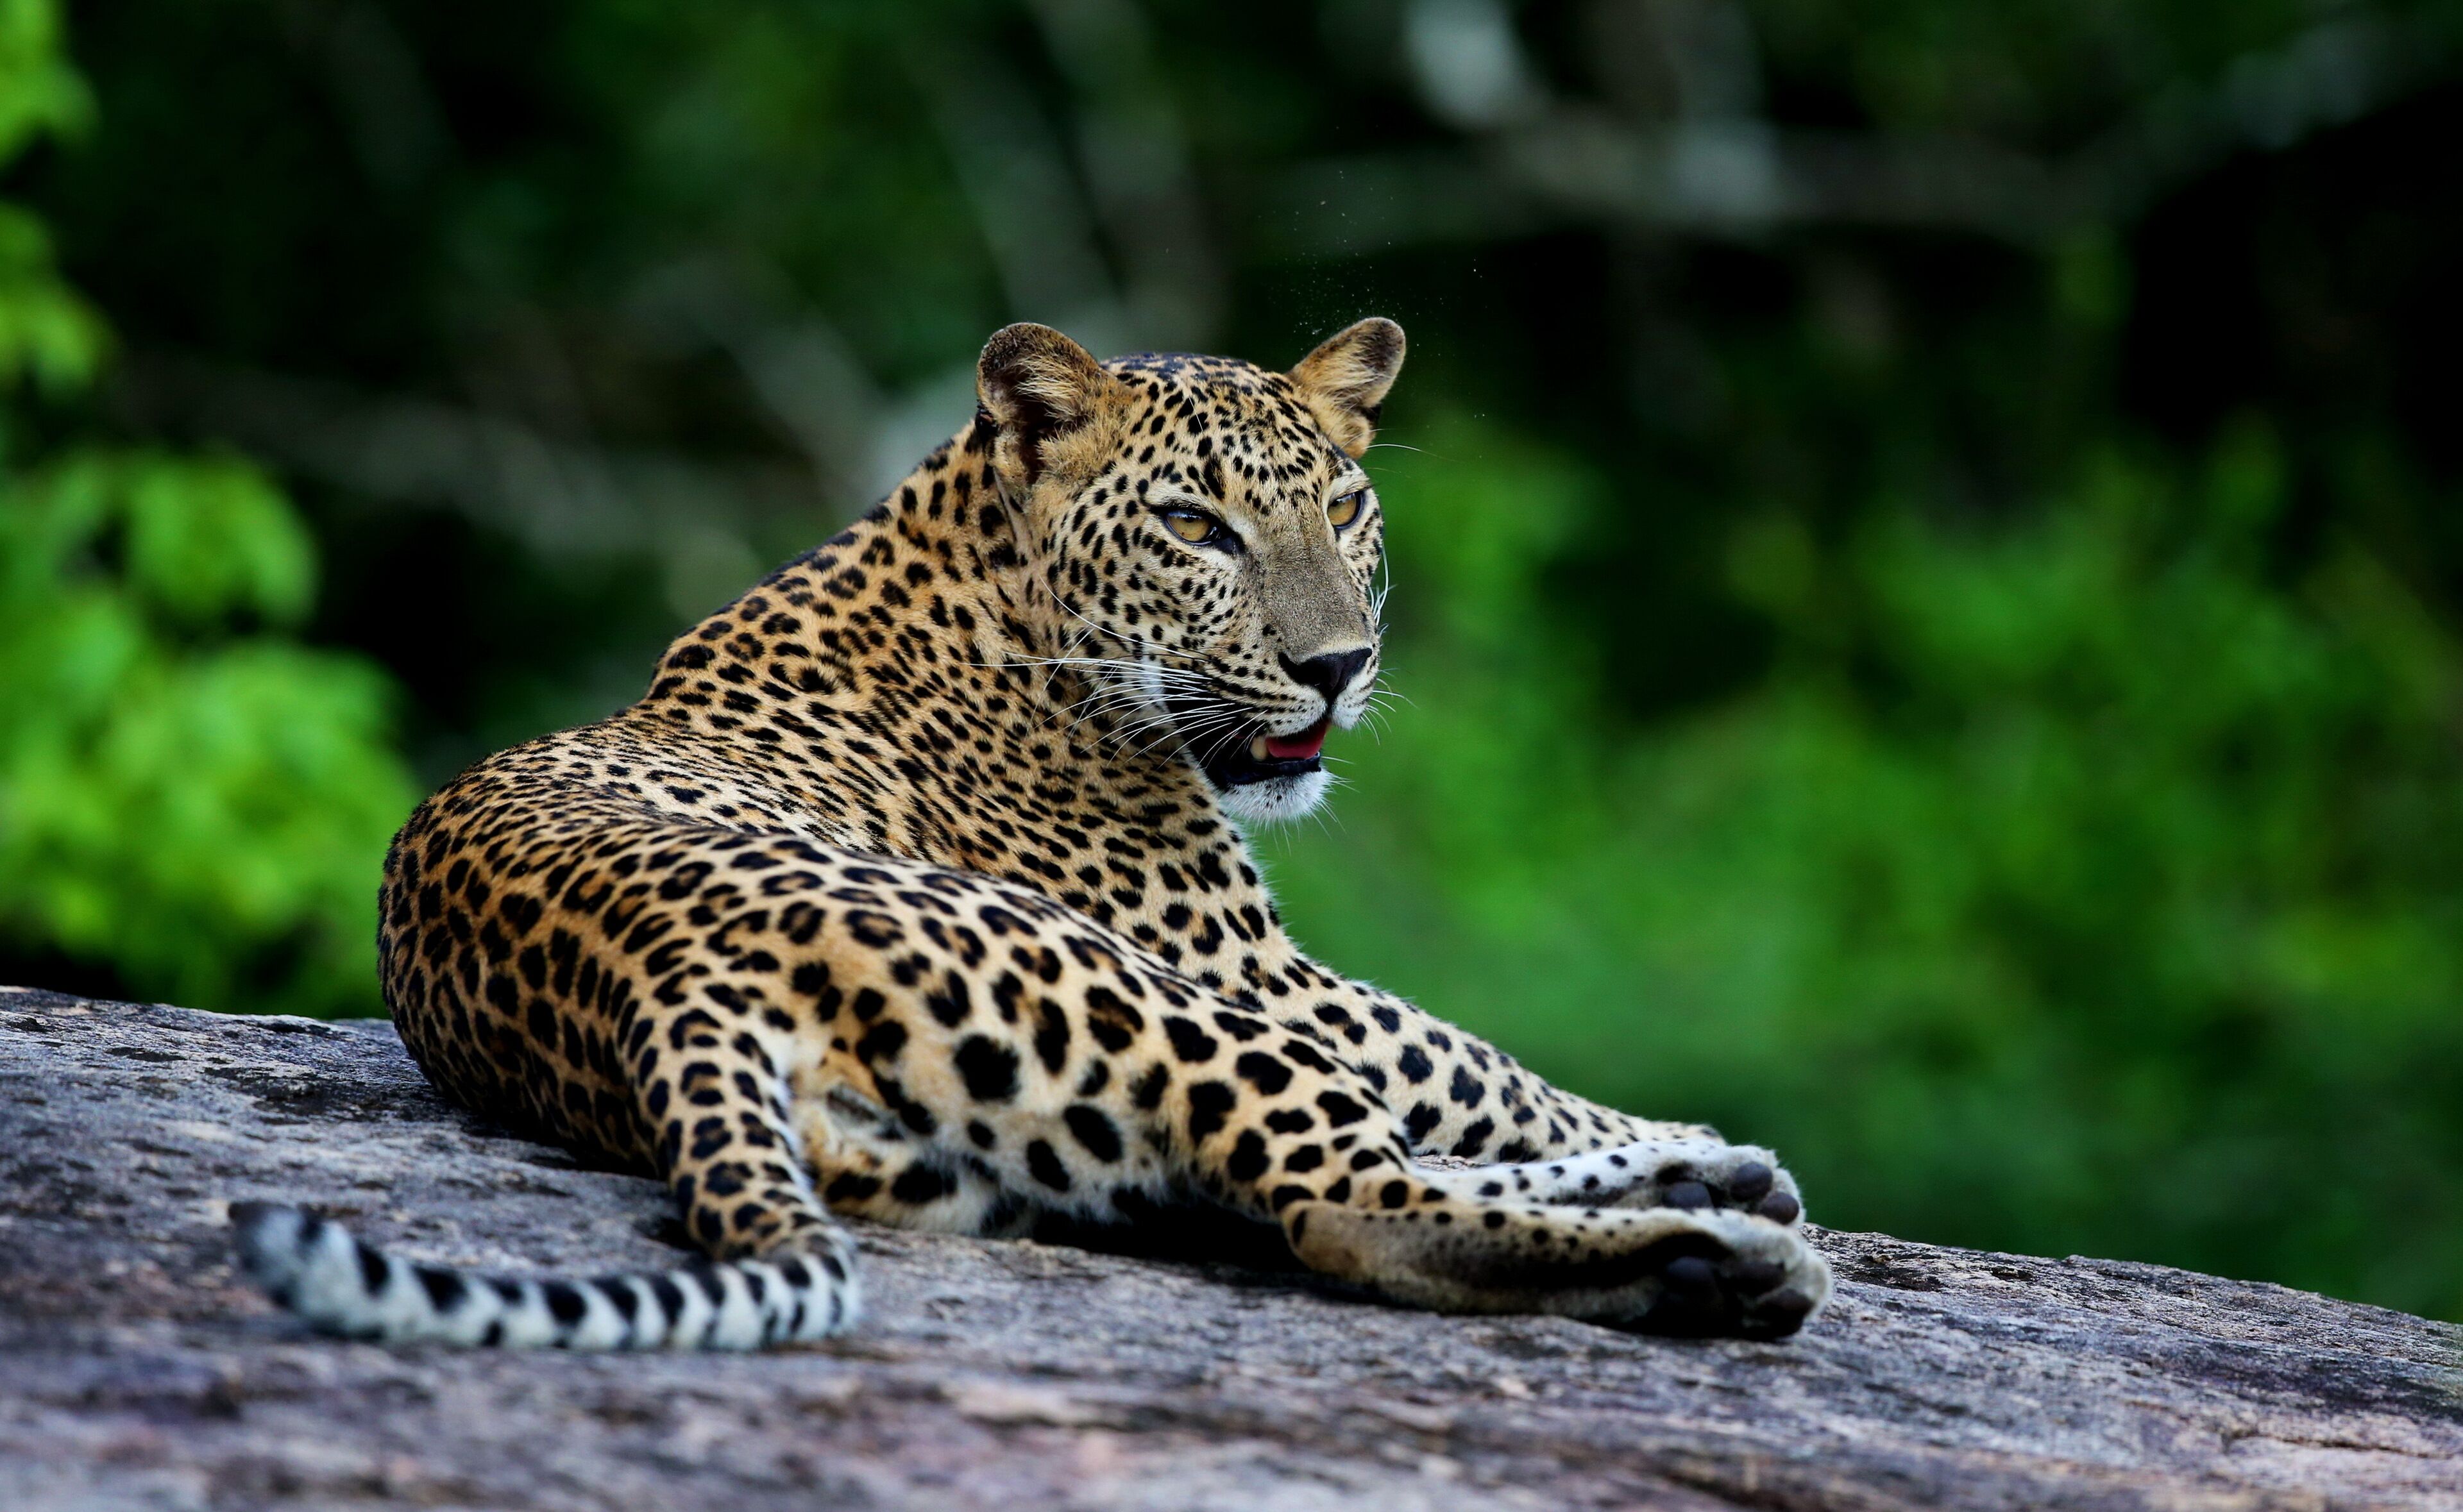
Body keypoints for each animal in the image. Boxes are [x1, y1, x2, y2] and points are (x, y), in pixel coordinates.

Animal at [233, 318, 1832, 1349]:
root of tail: (657, 981)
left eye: (1344, 505)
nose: (1339, 667)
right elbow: (1467, 1056)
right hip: (1145, 997)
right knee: (1342, 1198)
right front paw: (1681, 1136)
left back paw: (1715, 1208)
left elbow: (1458, 1066)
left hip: (1005, 1158)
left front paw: (1695, 1146)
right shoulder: (1248, 962)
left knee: (1278, 1182)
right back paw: (1718, 1259)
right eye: (1197, 528)